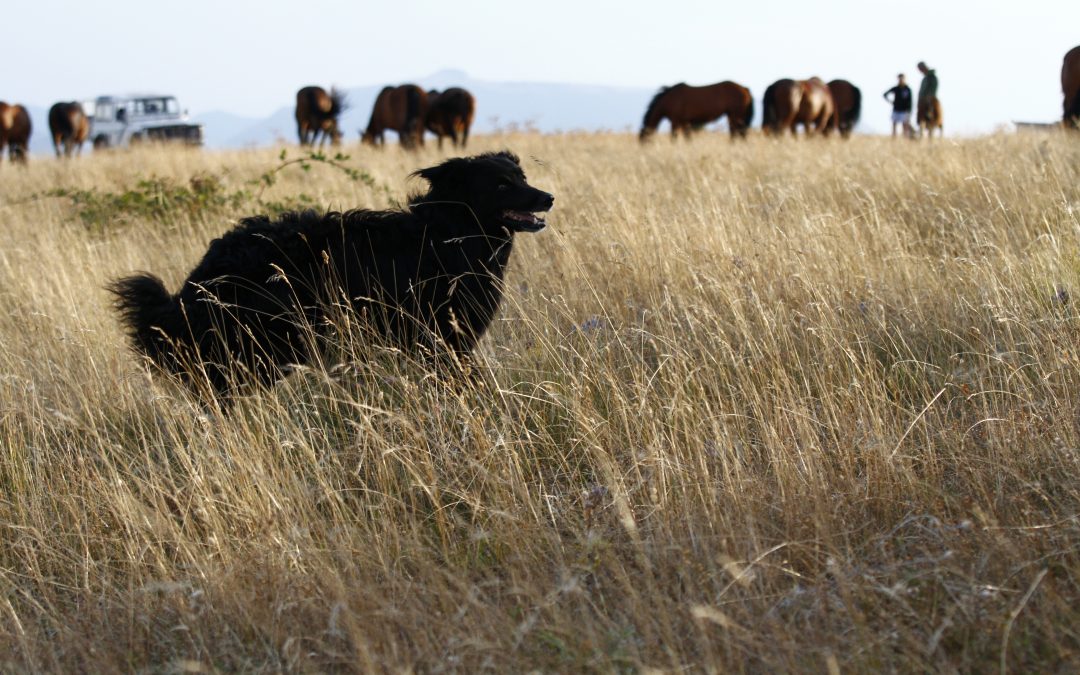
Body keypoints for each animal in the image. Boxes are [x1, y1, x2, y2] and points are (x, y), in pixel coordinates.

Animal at [108, 150, 552, 397]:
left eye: (522, 178)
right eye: (500, 185)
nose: (548, 197)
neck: (447, 233)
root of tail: (203, 271)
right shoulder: (439, 340)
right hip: (262, 348)